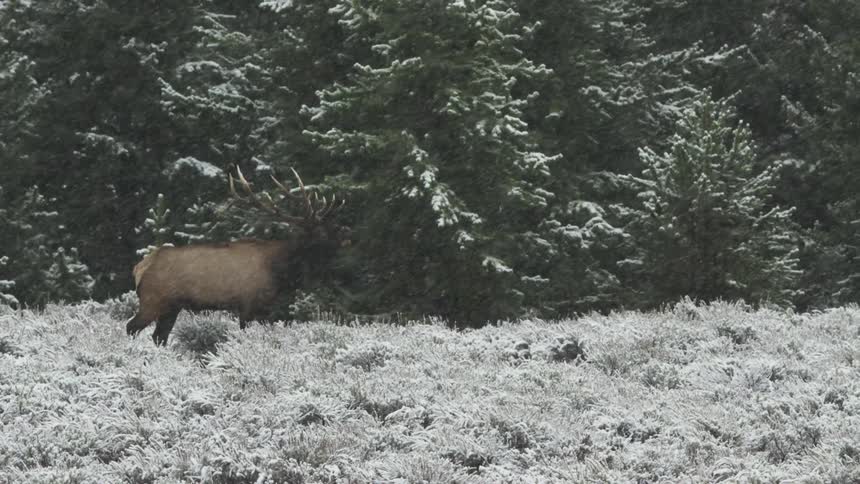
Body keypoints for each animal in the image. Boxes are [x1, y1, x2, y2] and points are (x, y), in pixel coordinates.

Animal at [126, 167, 350, 346]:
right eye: (322, 231)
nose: (346, 236)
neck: (280, 271)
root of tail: (140, 267)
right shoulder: (249, 304)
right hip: (152, 300)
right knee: (131, 327)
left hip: (171, 307)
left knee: (158, 336)